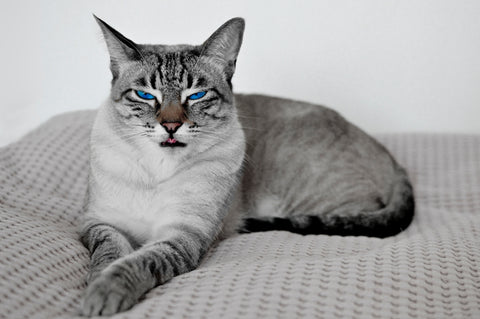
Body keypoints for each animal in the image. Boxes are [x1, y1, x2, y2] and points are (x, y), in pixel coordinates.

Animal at [79, 16, 412, 316]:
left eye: (196, 95)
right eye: (145, 95)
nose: (171, 126)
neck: (157, 170)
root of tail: (390, 156)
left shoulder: (182, 235)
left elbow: (138, 262)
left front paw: (103, 294)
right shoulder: (101, 223)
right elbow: (109, 253)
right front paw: (95, 286)